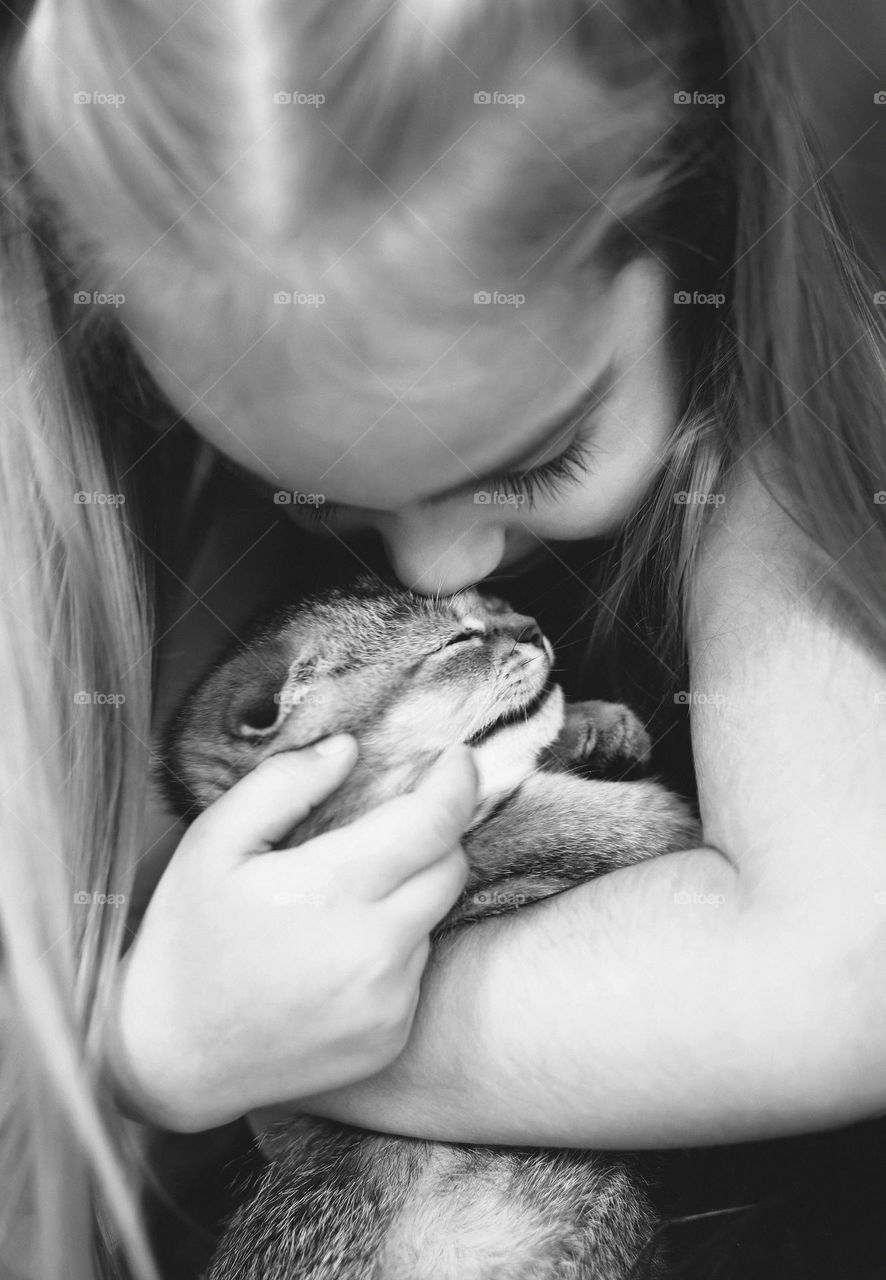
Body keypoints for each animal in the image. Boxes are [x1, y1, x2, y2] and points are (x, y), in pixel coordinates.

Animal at [159, 578, 701, 1280]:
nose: (532, 625)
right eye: (457, 643)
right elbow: (572, 820)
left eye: (491, 608)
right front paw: (635, 802)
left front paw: (592, 723)